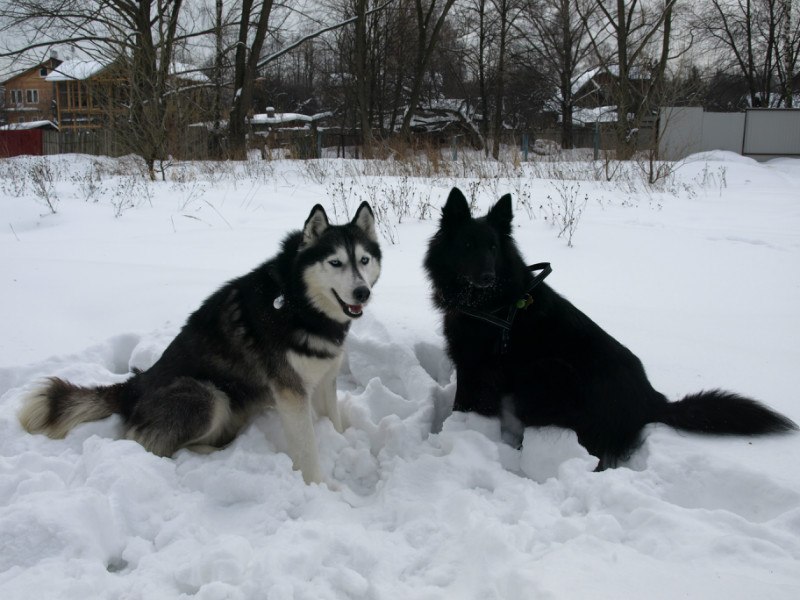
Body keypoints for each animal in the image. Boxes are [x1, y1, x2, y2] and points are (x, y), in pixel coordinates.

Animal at [19, 202, 381, 485]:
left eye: (364, 260)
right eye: (335, 262)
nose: (362, 292)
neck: (297, 303)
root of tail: (136, 385)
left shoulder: (324, 377)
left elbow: (333, 420)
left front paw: (340, 442)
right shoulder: (290, 391)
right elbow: (307, 450)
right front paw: (322, 486)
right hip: (208, 396)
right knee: (151, 443)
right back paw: (213, 453)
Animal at [424, 187, 797, 468]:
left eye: (493, 247)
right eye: (467, 245)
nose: (487, 277)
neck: (491, 303)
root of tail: (653, 400)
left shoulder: (481, 368)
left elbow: (466, 404)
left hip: (547, 370)